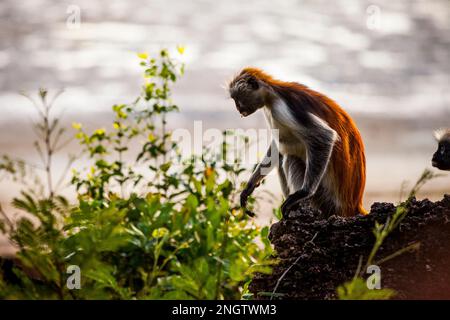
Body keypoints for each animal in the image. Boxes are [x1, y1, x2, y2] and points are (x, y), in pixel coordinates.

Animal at [229, 67, 366, 218]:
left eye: (237, 99)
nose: (237, 108)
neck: (273, 93)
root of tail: (353, 204)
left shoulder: (282, 110)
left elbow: (325, 136)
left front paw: (302, 193)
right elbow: (277, 145)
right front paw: (250, 184)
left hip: (324, 199)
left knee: (290, 158)